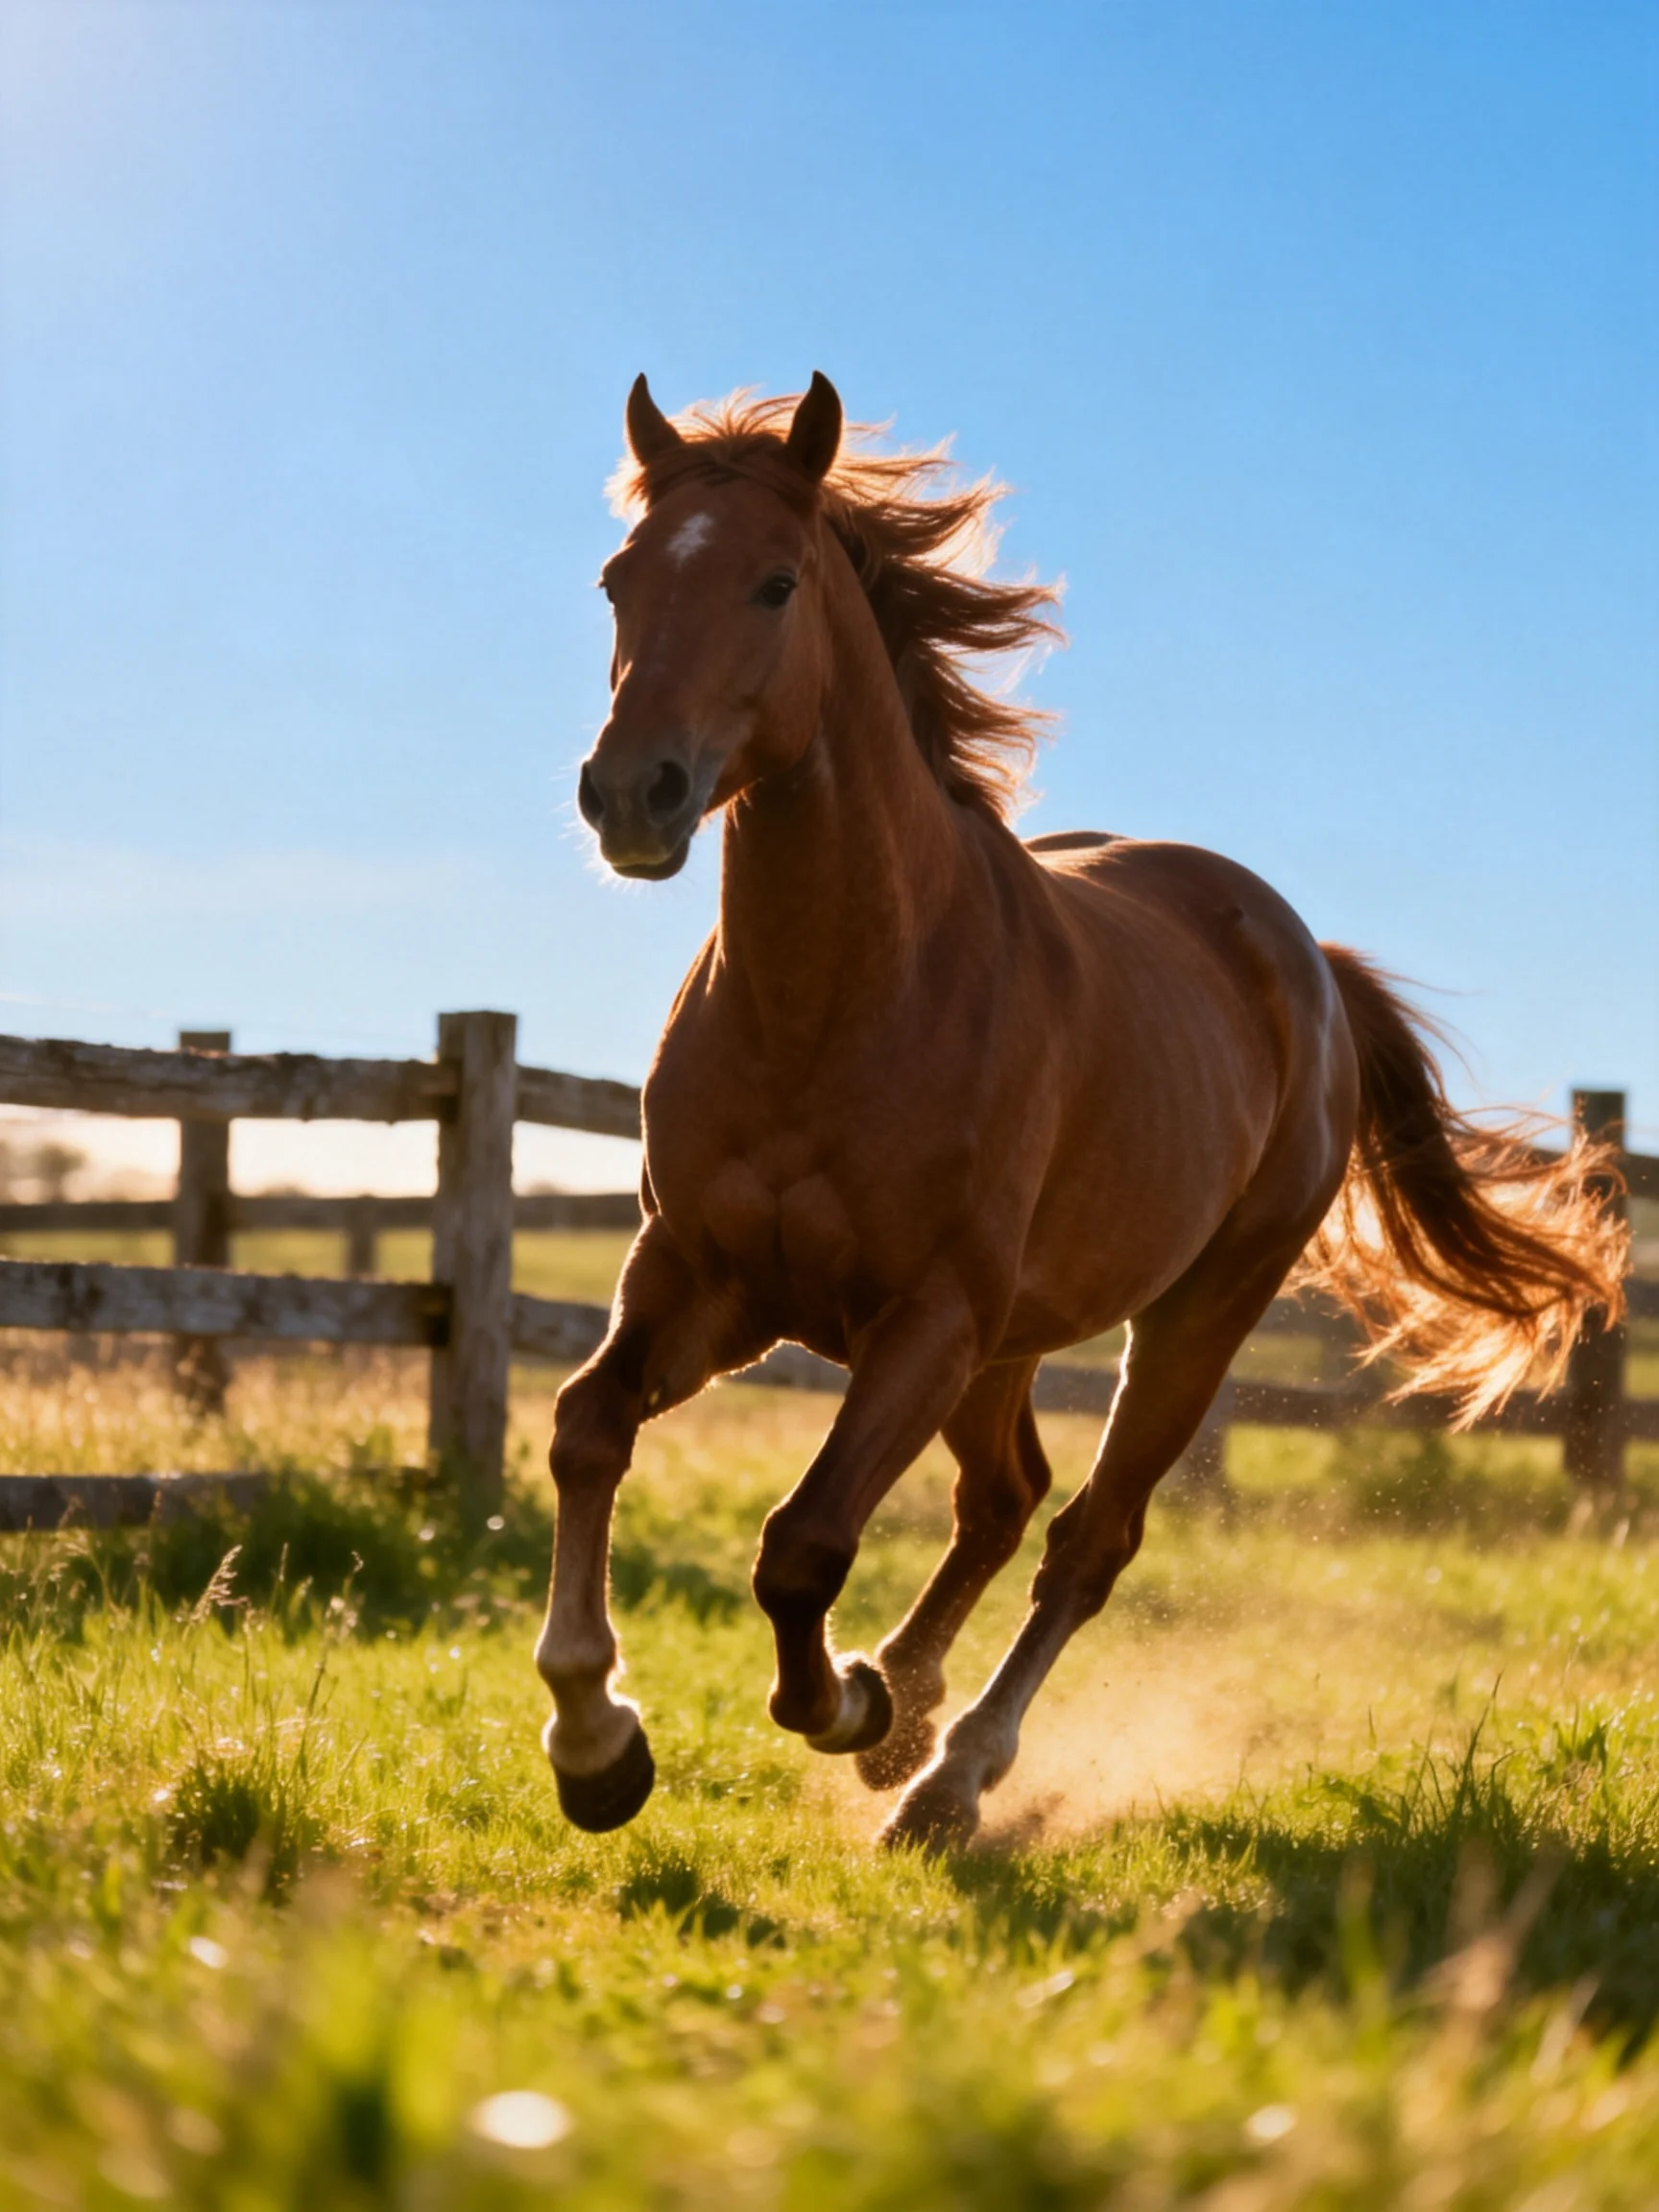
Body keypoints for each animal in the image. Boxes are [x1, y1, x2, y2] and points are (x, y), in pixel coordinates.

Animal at [533, 372, 1625, 1851]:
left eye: (774, 582)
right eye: (618, 579)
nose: (629, 796)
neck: (847, 998)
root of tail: (1307, 965)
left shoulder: (925, 1316)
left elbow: (804, 1545)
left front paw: (847, 1707)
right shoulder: (701, 1276)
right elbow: (587, 1430)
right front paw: (597, 1742)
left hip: (1185, 1323)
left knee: (1086, 1540)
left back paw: (943, 1776)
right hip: (1010, 1341)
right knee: (1004, 1502)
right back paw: (915, 1716)